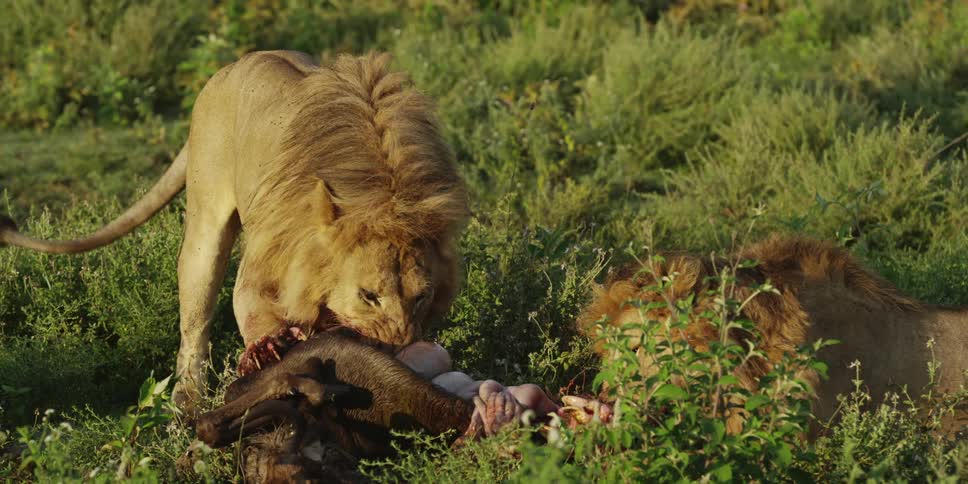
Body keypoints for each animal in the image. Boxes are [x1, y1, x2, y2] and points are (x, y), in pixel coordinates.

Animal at [0, 51, 469, 414]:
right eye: (368, 296)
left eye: (422, 296)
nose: (400, 347)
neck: (379, 190)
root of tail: (233, 64)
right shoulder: (263, 269)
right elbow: (255, 313)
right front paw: (272, 356)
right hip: (204, 226)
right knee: (194, 325)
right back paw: (186, 407)